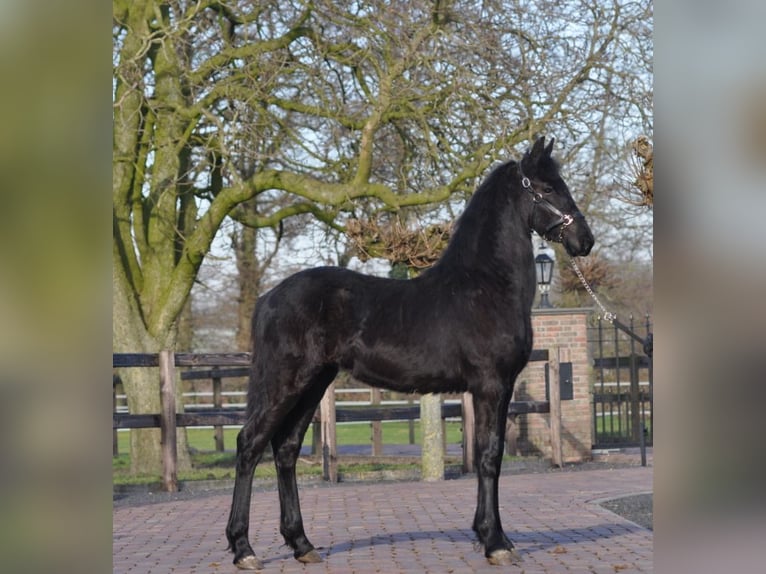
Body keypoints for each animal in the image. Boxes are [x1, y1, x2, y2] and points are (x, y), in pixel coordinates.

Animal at [225, 136, 596, 572]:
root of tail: (268, 298)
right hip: (286, 382)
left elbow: (489, 454)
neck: (485, 286)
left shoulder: (495, 388)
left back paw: (301, 544)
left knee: (285, 449)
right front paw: (495, 543)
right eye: (549, 187)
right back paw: (243, 549)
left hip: (314, 383)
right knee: (249, 444)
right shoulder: (491, 386)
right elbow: (489, 456)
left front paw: (490, 535)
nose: (585, 241)